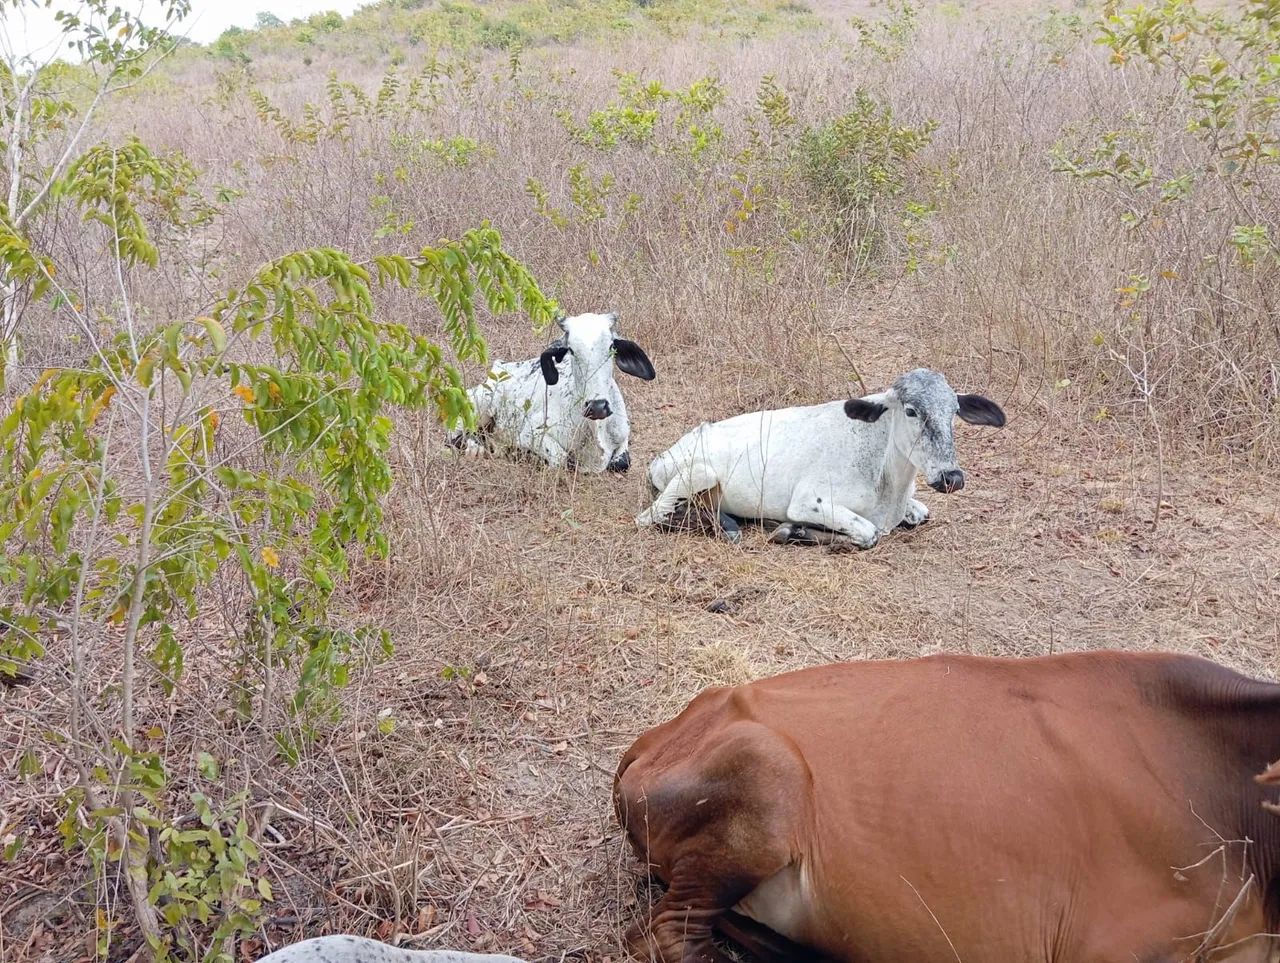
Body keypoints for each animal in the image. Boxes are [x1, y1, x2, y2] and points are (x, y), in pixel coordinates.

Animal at [449, 312, 655, 473]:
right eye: (571, 350)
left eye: (612, 347)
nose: (597, 406)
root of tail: (500, 366)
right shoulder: (530, 434)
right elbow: (562, 459)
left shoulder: (624, 436)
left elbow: (621, 462)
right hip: (477, 404)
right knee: (454, 433)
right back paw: (475, 446)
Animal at [634, 368, 1005, 547]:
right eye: (911, 411)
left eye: (954, 411)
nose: (951, 478)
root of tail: (662, 456)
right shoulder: (808, 502)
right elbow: (868, 533)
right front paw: (791, 531)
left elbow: (921, 513)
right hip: (698, 475)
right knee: (651, 517)